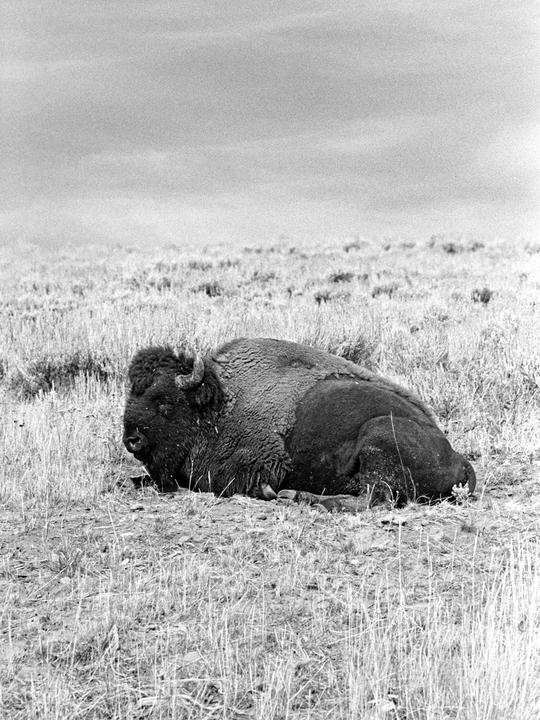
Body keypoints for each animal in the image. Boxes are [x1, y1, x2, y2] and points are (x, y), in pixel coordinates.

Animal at [123, 338, 476, 511]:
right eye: (131, 393)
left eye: (165, 402)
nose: (131, 439)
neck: (220, 402)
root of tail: (458, 457)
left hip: (377, 435)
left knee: (373, 501)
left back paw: (296, 496)